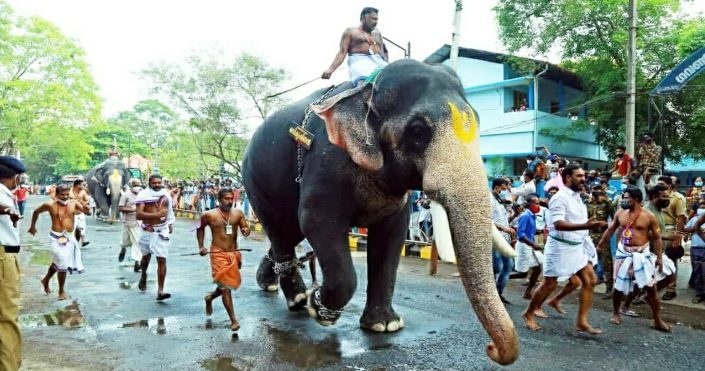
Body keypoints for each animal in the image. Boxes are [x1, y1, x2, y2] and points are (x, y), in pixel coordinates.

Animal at [242, 60, 516, 366]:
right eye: (418, 130)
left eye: (478, 122)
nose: (490, 349)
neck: (366, 92)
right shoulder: (326, 159)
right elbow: (316, 221)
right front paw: (319, 310)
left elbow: (391, 235)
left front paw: (384, 326)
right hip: (255, 181)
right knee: (281, 230)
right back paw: (299, 300)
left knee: (288, 233)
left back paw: (271, 286)